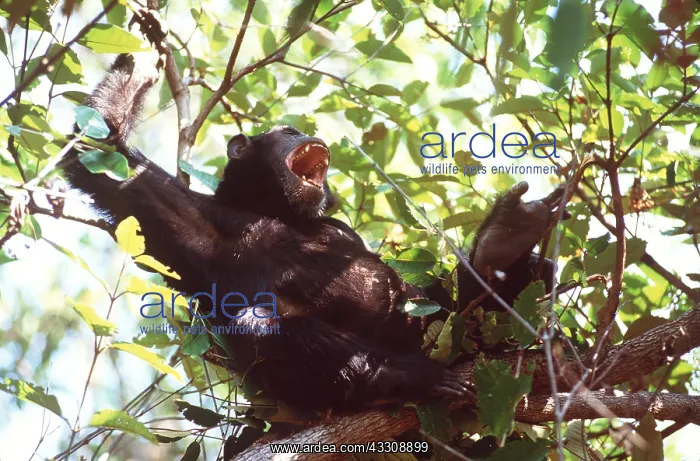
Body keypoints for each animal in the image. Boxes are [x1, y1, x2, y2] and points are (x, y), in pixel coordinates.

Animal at [60, 9, 566, 413]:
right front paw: (144, 54)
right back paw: (393, 378)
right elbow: (104, 156)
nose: (305, 131)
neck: (275, 211)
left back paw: (501, 245)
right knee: (263, 324)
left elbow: (424, 294)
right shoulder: (187, 214)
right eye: (286, 131)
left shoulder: (343, 231)